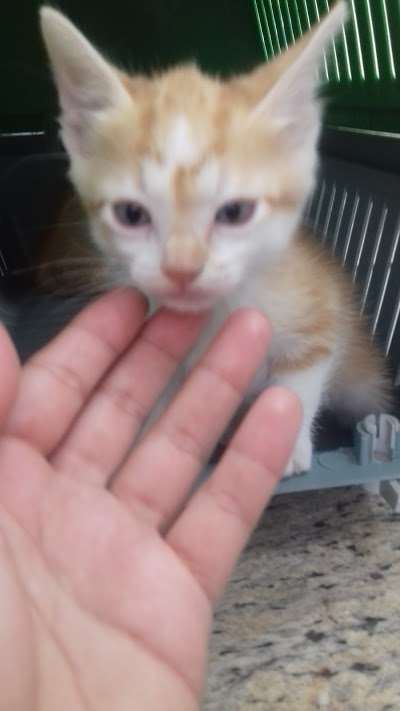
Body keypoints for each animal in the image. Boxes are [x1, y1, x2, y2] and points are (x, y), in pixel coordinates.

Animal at [39, 2, 392, 476]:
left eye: (236, 212)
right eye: (131, 214)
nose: (182, 269)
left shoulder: (318, 306)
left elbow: (301, 372)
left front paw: (285, 437)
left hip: (363, 374)